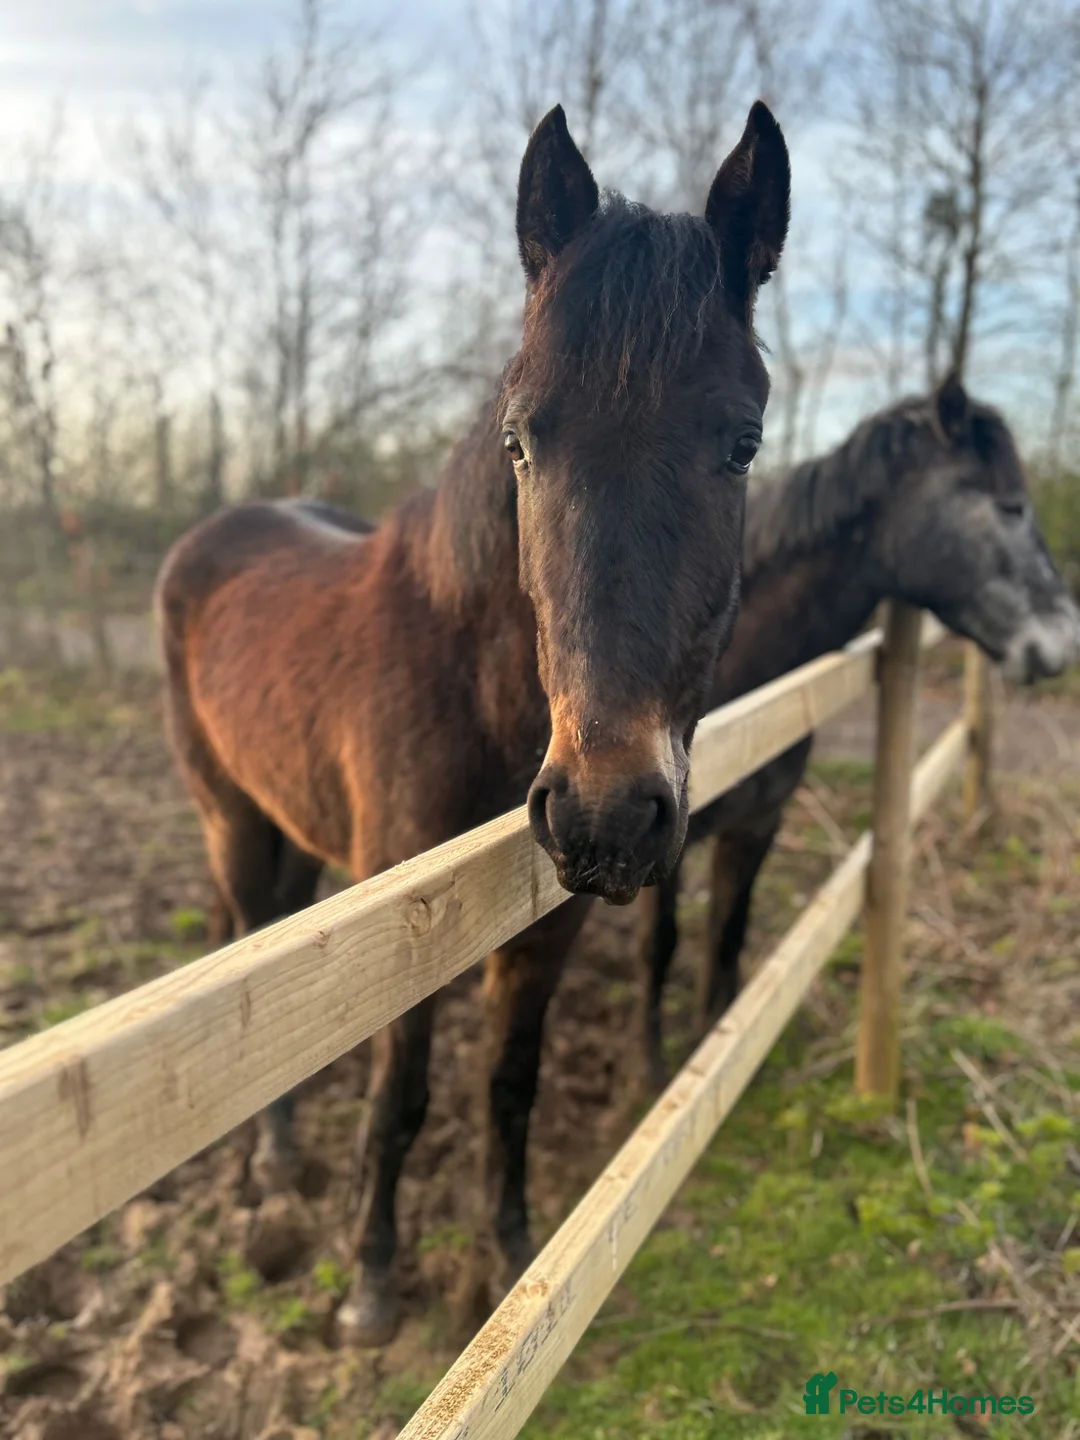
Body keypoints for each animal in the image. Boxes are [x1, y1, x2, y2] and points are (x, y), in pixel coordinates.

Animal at [155, 101, 791, 1344]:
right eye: (520, 440)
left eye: (741, 442)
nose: (604, 815)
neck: (476, 687)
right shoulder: (405, 927)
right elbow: (400, 1101)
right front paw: (369, 1284)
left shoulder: (549, 931)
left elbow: (510, 1087)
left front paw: (507, 1250)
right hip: (229, 820)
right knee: (247, 934)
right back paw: (274, 1168)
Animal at [636, 373, 1080, 1087]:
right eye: (1010, 508)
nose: (1065, 639)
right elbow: (660, 945)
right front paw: (647, 1074)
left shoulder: (757, 823)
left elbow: (728, 930)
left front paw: (717, 1040)